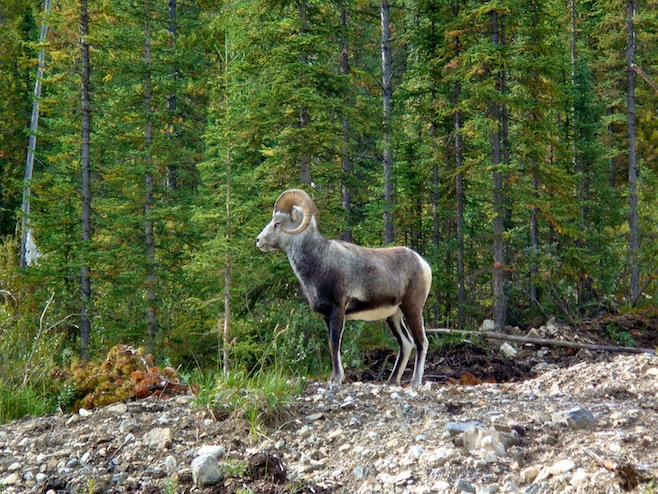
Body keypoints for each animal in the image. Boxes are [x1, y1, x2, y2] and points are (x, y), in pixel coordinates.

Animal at [256, 189, 432, 387]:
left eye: (277, 223)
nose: (258, 240)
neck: (320, 261)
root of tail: (423, 263)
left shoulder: (338, 309)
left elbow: (335, 343)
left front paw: (337, 379)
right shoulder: (326, 316)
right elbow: (332, 344)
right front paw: (335, 377)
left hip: (412, 309)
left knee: (421, 342)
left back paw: (415, 382)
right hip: (393, 316)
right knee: (406, 343)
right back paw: (392, 380)